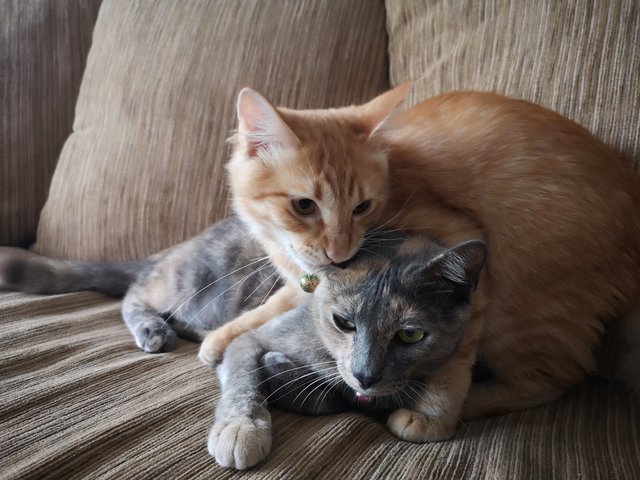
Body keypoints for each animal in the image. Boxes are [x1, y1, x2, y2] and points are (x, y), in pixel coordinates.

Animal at [198, 87, 636, 442]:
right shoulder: (308, 285)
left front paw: (432, 415)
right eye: (304, 206)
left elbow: (453, 358)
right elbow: (273, 306)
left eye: (362, 207)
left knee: (554, 378)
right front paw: (222, 337)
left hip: (518, 305)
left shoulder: (464, 244)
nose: (341, 253)